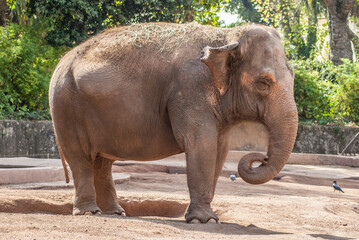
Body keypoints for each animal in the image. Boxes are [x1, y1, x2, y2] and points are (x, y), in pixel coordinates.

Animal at [49, 22, 300, 223]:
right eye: (263, 83)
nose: (261, 158)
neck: (225, 37)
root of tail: (62, 59)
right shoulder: (190, 88)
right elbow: (201, 144)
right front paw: (204, 221)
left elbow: (220, 150)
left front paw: (207, 217)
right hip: (66, 106)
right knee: (80, 157)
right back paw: (89, 213)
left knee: (102, 162)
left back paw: (115, 213)